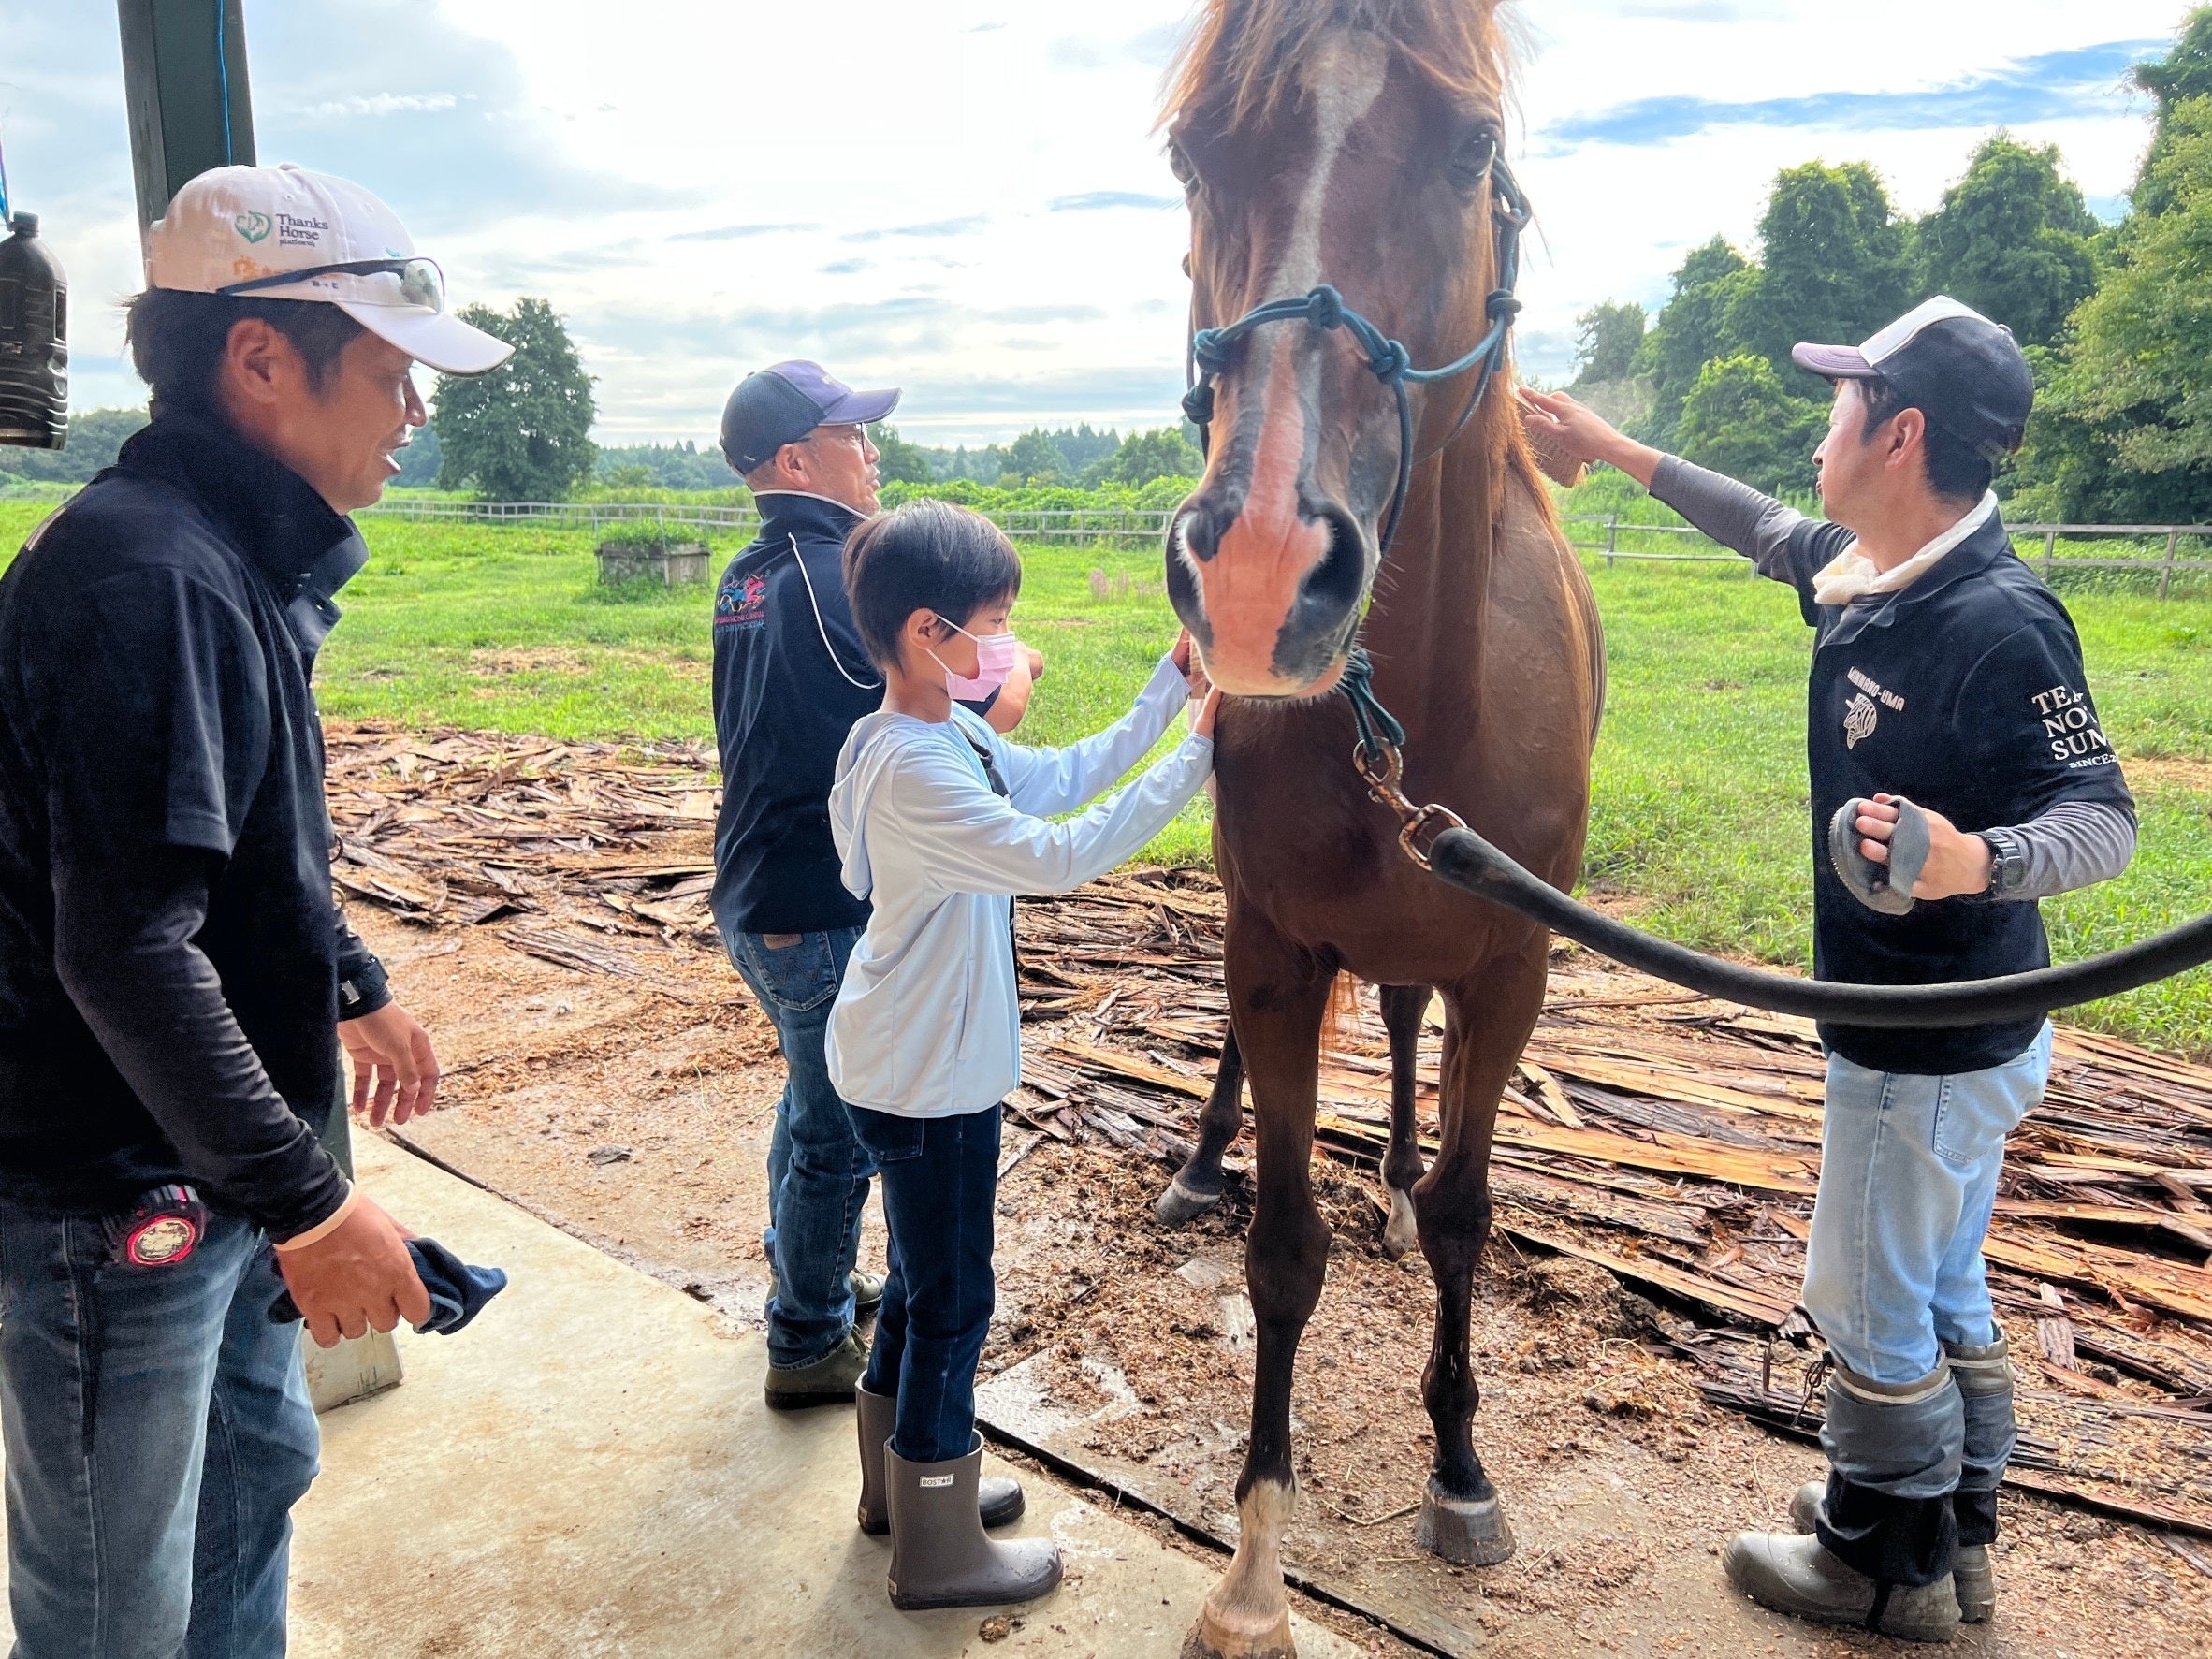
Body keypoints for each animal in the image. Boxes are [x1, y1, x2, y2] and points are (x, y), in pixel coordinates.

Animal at [1150, 6, 1601, 1654]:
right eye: (1194, 152)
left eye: (1471, 151)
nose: (1263, 571)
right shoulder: (1276, 949)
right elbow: (1285, 1250)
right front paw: (1254, 1560)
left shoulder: (1514, 965)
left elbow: (1472, 1213)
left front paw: (1461, 1468)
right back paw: (1198, 1159)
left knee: (1411, 1042)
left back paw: (1400, 1172)